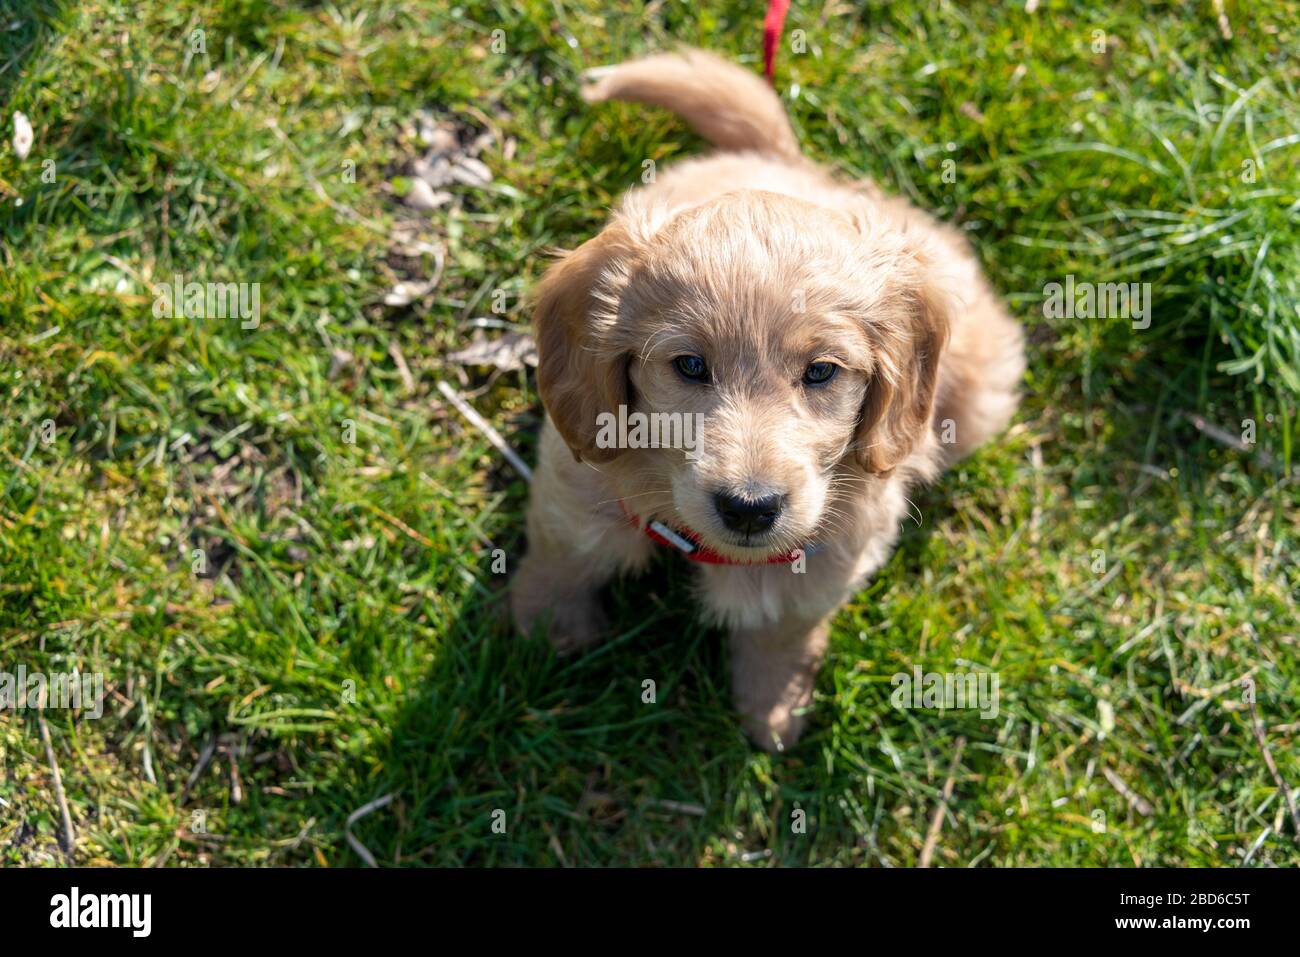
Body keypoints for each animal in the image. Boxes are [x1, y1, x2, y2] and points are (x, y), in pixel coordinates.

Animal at [509, 50, 1024, 754]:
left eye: (821, 371)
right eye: (690, 366)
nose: (750, 509)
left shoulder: (832, 546)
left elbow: (783, 628)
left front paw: (773, 708)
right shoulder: (580, 473)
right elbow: (564, 553)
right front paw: (542, 628)